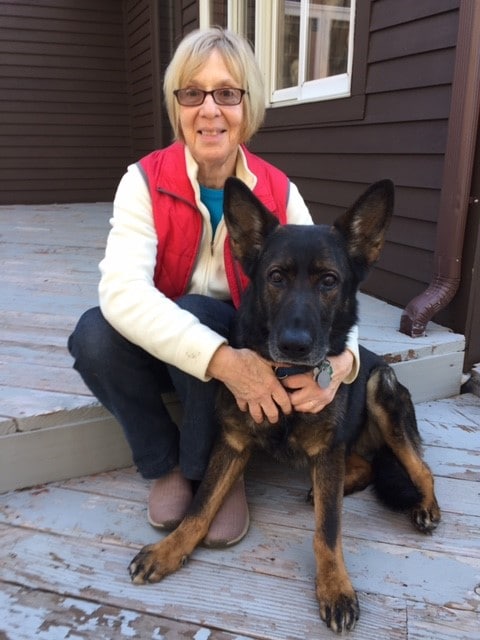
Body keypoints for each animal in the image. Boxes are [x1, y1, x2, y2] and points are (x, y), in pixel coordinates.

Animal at [129, 178, 440, 632]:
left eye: (328, 281)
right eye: (276, 277)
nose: (295, 345)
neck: (287, 380)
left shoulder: (327, 452)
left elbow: (328, 529)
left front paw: (335, 587)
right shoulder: (233, 444)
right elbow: (200, 506)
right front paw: (169, 550)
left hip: (379, 389)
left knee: (422, 468)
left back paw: (425, 507)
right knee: (363, 467)